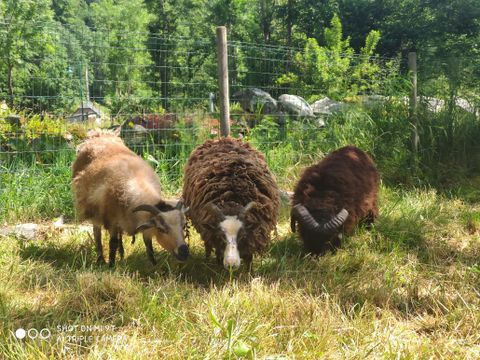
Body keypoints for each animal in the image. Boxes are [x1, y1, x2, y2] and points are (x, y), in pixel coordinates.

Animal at [72, 129, 188, 268]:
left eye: (184, 226)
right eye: (161, 229)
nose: (184, 252)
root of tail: (100, 135)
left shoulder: (141, 222)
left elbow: (148, 245)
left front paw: (153, 264)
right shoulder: (112, 220)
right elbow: (112, 243)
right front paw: (111, 265)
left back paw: (121, 255)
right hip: (94, 211)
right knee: (97, 232)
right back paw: (101, 259)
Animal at [184, 138, 282, 270]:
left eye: (242, 236)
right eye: (221, 236)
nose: (231, 265)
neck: (232, 202)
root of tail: (224, 139)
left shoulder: (252, 236)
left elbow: (249, 256)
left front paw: (249, 272)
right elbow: (219, 254)